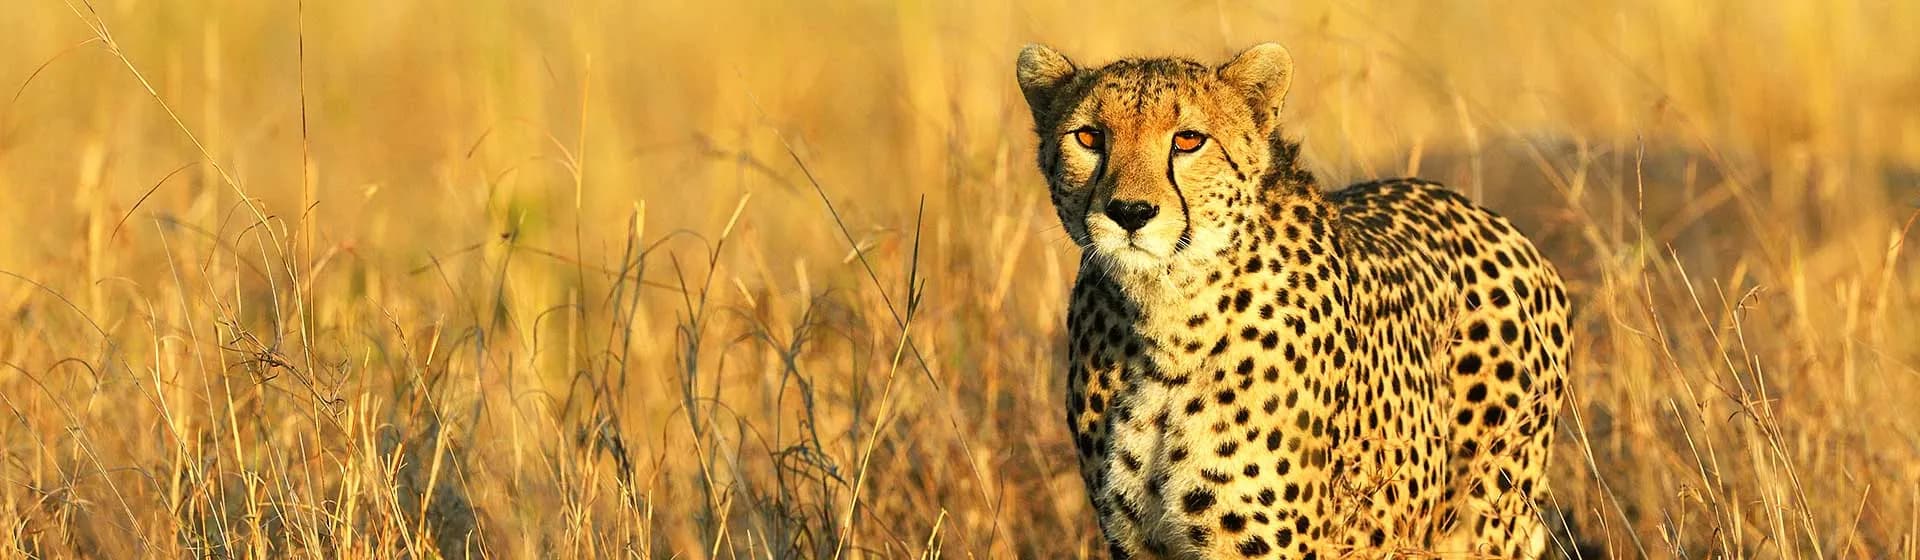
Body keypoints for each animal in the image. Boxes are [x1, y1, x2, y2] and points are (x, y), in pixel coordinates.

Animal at [1016, 42, 1571, 559]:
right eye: (1089, 137)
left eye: (1188, 139)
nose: (1130, 212)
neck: (1168, 325)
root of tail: (1486, 215)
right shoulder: (1135, 541)